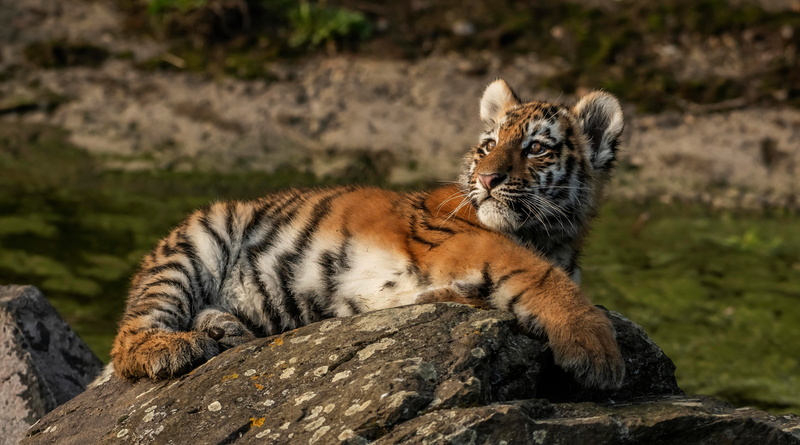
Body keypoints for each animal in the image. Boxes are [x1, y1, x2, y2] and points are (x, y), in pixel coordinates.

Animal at [105, 79, 626, 390]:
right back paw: (175, 347)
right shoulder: (460, 241)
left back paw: (223, 329)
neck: (550, 235)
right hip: (198, 241)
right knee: (128, 337)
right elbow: (538, 275)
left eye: (536, 148)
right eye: (489, 145)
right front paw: (595, 350)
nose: (486, 178)